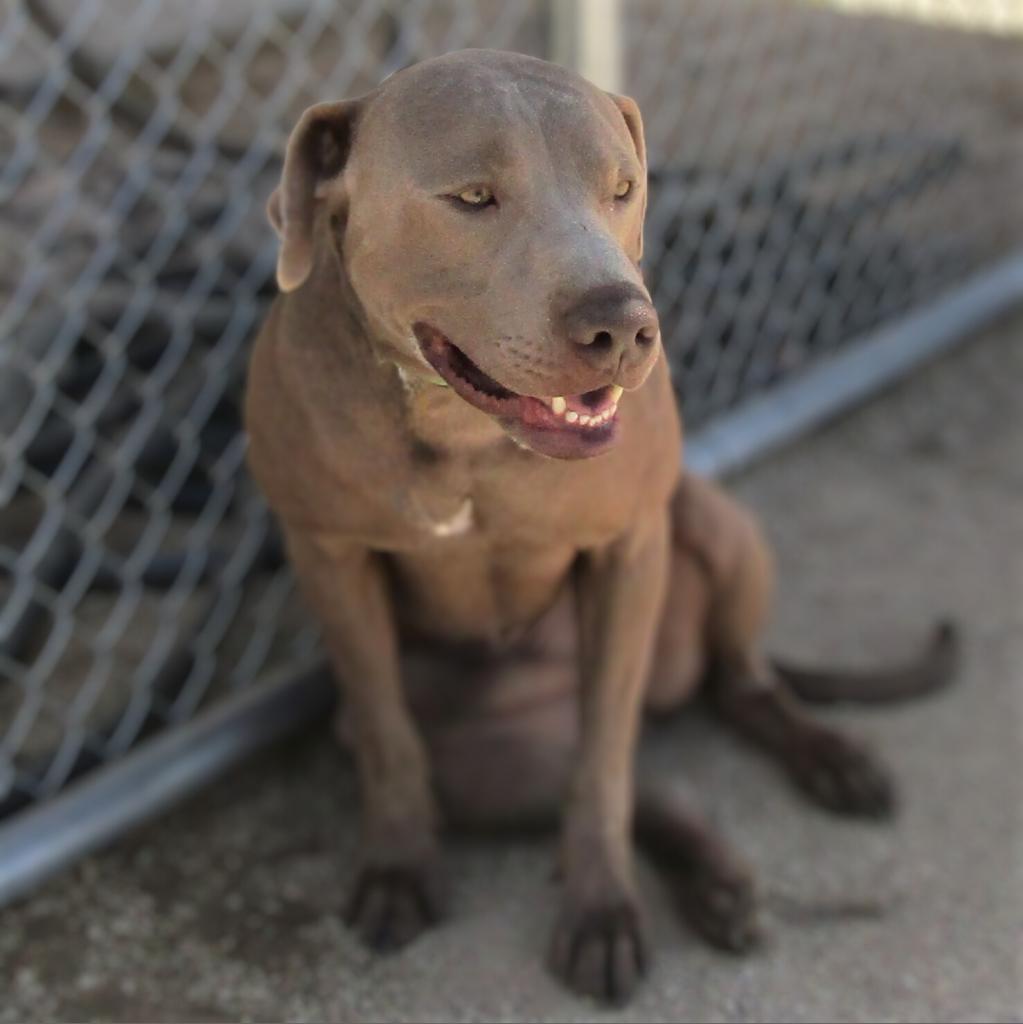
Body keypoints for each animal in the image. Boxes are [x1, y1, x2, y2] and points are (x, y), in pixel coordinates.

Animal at [243, 48, 954, 999]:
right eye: (472, 196)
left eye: (622, 188)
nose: (621, 324)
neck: (463, 432)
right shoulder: (329, 557)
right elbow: (391, 736)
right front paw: (396, 869)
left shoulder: (629, 551)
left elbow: (606, 764)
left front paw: (601, 907)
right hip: (494, 758)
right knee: (652, 791)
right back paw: (715, 881)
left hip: (716, 523)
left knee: (742, 686)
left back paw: (820, 765)